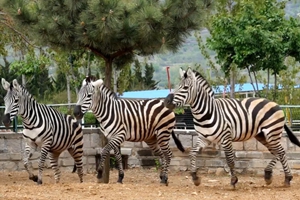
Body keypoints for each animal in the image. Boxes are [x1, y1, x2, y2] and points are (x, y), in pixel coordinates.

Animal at [164, 68, 300, 188]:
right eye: (176, 86)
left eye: (185, 88)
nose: (166, 102)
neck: (206, 113)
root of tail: (275, 104)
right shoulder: (204, 138)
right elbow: (192, 153)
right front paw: (195, 177)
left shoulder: (226, 137)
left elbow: (230, 160)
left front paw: (234, 180)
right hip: (262, 135)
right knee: (278, 152)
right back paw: (271, 176)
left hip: (272, 133)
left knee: (281, 151)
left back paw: (286, 178)